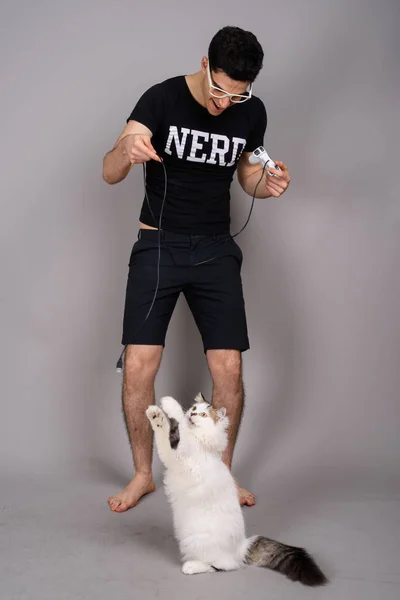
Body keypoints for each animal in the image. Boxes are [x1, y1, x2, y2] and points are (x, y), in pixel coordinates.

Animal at [146, 394, 328, 584]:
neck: (202, 442)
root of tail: (242, 546)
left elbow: (180, 424)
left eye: (203, 415)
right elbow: (163, 433)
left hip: (201, 544)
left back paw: (191, 566)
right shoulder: (170, 457)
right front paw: (155, 415)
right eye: (195, 409)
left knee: (222, 566)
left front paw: (170, 405)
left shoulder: (186, 448)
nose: (193, 415)